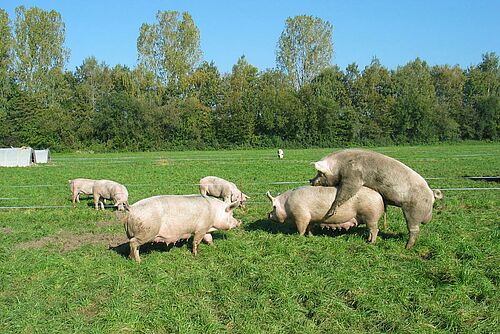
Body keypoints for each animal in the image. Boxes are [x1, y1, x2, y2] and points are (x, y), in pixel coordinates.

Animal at [310, 149, 444, 248]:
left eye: (320, 173)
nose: (311, 181)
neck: (339, 165)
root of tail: (431, 194)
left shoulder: (353, 177)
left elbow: (345, 192)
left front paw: (330, 212)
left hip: (414, 211)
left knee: (414, 230)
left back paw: (407, 247)